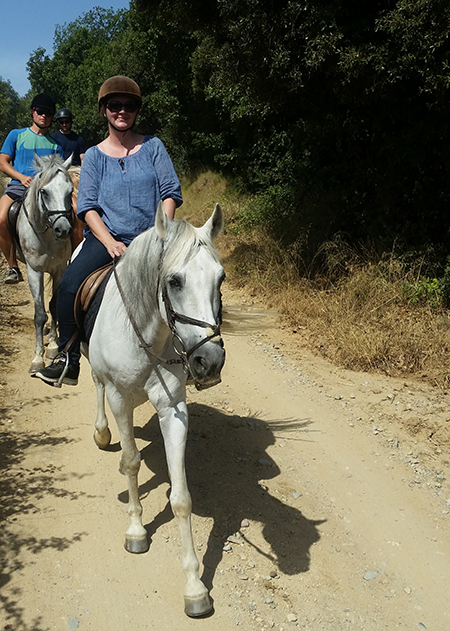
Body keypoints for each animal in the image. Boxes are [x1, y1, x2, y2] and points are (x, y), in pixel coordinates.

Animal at [10, 154, 73, 372]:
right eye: (44, 192)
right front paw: (38, 358)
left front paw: (53, 346)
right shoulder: (34, 271)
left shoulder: (59, 270)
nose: (63, 229)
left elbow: (53, 307)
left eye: (70, 191)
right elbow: (39, 314)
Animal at [82, 202, 225, 616]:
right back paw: (102, 432)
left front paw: (194, 587)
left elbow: (181, 498)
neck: (147, 337)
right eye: (174, 281)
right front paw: (136, 531)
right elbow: (131, 462)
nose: (209, 361)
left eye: (221, 278)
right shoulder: (119, 399)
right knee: (96, 384)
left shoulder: (173, 409)